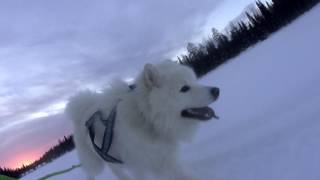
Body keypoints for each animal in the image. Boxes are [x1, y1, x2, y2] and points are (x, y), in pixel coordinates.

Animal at [65, 60, 220, 180]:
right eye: (184, 88)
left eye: (194, 81)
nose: (216, 90)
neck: (148, 119)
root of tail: (83, 110)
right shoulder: (141, 164)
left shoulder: (164, 158)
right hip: (94, 161)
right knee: (92, 173)